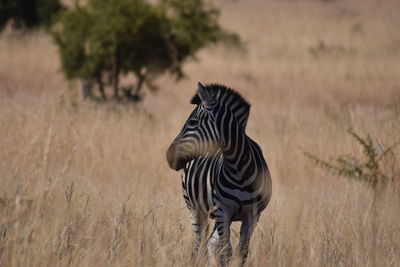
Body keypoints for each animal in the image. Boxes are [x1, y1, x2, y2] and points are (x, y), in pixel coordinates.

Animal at [166, 82, 272, 266]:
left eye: (193, 122)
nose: (168, 156)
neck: (239, 168)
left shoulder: (252, 214)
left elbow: (242, 252)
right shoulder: (223, 210)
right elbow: (226, 252)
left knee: (210, 244)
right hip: (195, 209)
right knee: (200, 246)